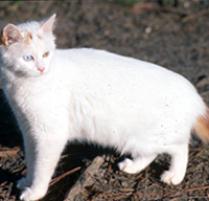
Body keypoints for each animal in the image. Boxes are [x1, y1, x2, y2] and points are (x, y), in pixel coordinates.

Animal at [0, 14, 209, 200]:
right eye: (28, 58)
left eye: (45, 54)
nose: (42, 68)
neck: (24, 83)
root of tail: (194, 95)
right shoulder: (29, 131)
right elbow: (31, 161)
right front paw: (27, 182)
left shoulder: (50, 135)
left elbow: (42, 168)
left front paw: (36, 191)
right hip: (139, 140)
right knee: (152, 153)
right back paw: (133, 166)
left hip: (156, 136)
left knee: (181, 148)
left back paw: (175, 176)